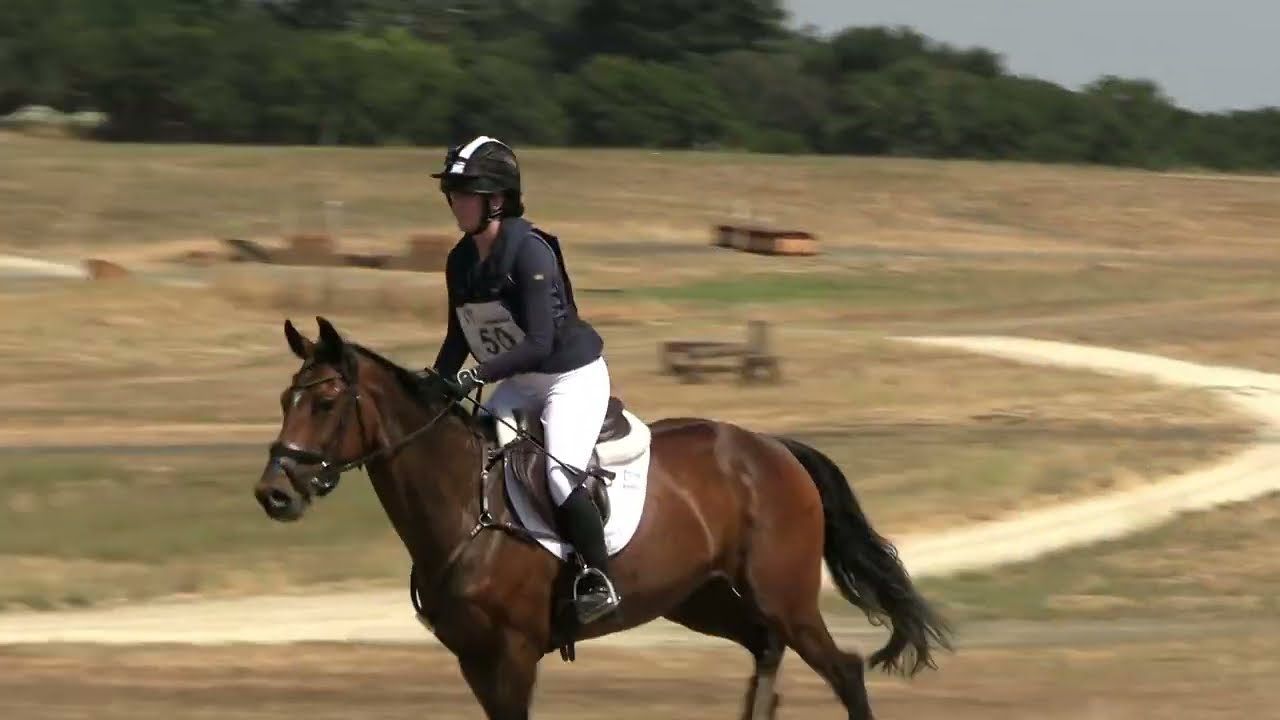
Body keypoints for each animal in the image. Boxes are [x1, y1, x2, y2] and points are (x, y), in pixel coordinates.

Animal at [253, 316, 953, 720]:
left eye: (323, 403)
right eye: (285, 398)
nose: (273, 494)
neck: (462, 508)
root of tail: (775, 448)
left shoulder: (512, 655)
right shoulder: (474, 659)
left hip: (786, 598)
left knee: (843, 671)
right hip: (698, 599)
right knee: (764, 652)